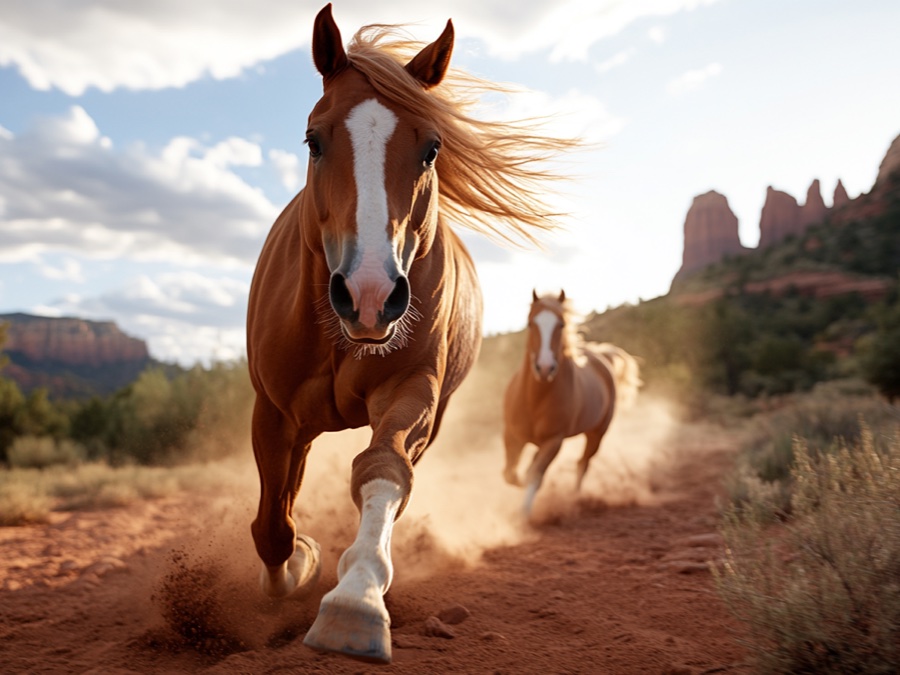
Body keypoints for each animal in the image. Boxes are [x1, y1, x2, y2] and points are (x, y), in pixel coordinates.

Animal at [246, 4, 574, 664]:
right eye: (313, 140)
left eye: (431, 148)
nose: (370, 295)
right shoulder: (272, 410)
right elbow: (272, 526)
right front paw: (300, 566)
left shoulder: (412, 390)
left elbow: (384, 469)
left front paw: (356, 599)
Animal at [502, 290, 642, 517]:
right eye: (531, 323)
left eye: (561, 324)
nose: (544, 367)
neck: (535, 398)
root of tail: (600, 354)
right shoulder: (512, 435)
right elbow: (511, 474)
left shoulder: (554, 441)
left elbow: (535, 475)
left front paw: (523, 514)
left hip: (596, 434)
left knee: (582, 464)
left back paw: (575, 500)